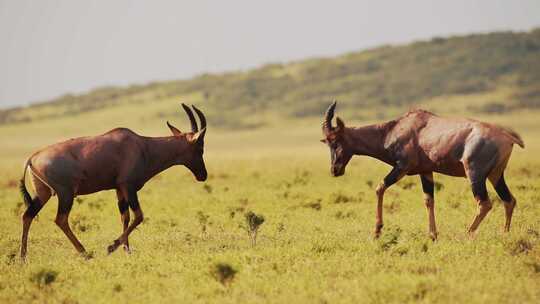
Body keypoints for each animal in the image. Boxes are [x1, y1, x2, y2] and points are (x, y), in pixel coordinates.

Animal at [19, 103, 209, 258]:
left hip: (43, 193)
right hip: (65, 194)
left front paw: (127, 250)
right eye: (200, 147)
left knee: (28, 215)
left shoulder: (119, 189)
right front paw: (111, 247)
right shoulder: (128, 186)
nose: (203, 175)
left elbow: (125, 217)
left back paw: (23, 257)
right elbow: (139, 216)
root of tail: (33, 158)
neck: (142, 145)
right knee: (61, 219)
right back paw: (85, 253)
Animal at [320, 101, 524, 240]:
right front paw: (432, 235)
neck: (396, 128)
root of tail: (507, 137)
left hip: (475, 173)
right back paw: (505, 234)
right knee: (509, 200)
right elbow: (428, 200)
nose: (335, 170)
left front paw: (377, 231)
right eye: (327, 142)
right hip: (496, 174)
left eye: (336, 141)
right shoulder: (425, 172)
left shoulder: (402, 167)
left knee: (485, 203)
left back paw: (466, 234)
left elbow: (379, 188)